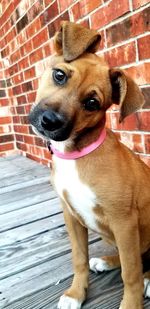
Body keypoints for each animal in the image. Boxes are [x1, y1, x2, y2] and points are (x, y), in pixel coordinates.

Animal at [29, 21, 150, 308]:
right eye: (59, 75)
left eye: (92, 103)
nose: (49, 121)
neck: (76, 156)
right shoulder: (71, 215)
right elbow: (79, 258)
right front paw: (76, 293)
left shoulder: (124, 222)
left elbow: (131, 274)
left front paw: (131, 304)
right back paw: (106, 261)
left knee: (140, 265)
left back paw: (148, 279)